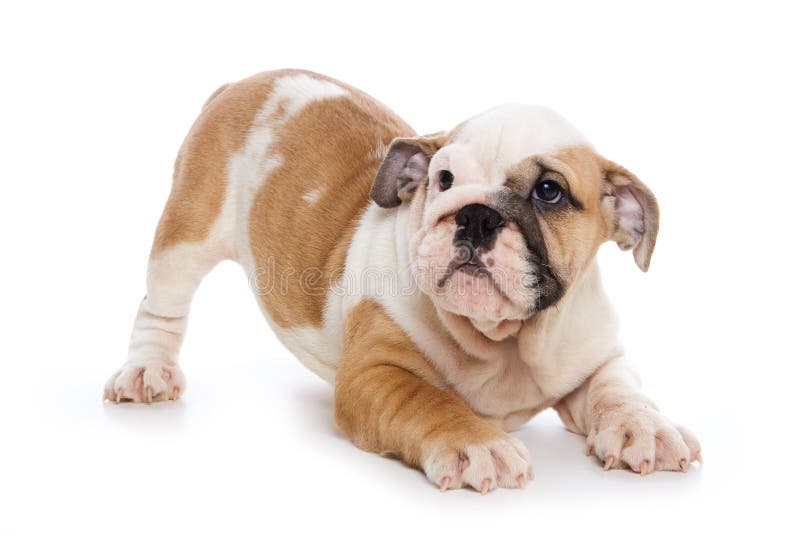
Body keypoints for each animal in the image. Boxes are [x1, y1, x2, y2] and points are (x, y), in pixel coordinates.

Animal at [104, 70, 700, 494]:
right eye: (444, 179)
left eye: (549, 191)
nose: (475, 215)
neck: (503, 341)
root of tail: (241, 84)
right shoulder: (376, 373)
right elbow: (427, 401)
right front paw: (475, 443)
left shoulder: (596, 353)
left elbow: (619, 390)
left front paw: (647, 428)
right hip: (188, 236)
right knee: (162, 305)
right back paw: (147, 371)